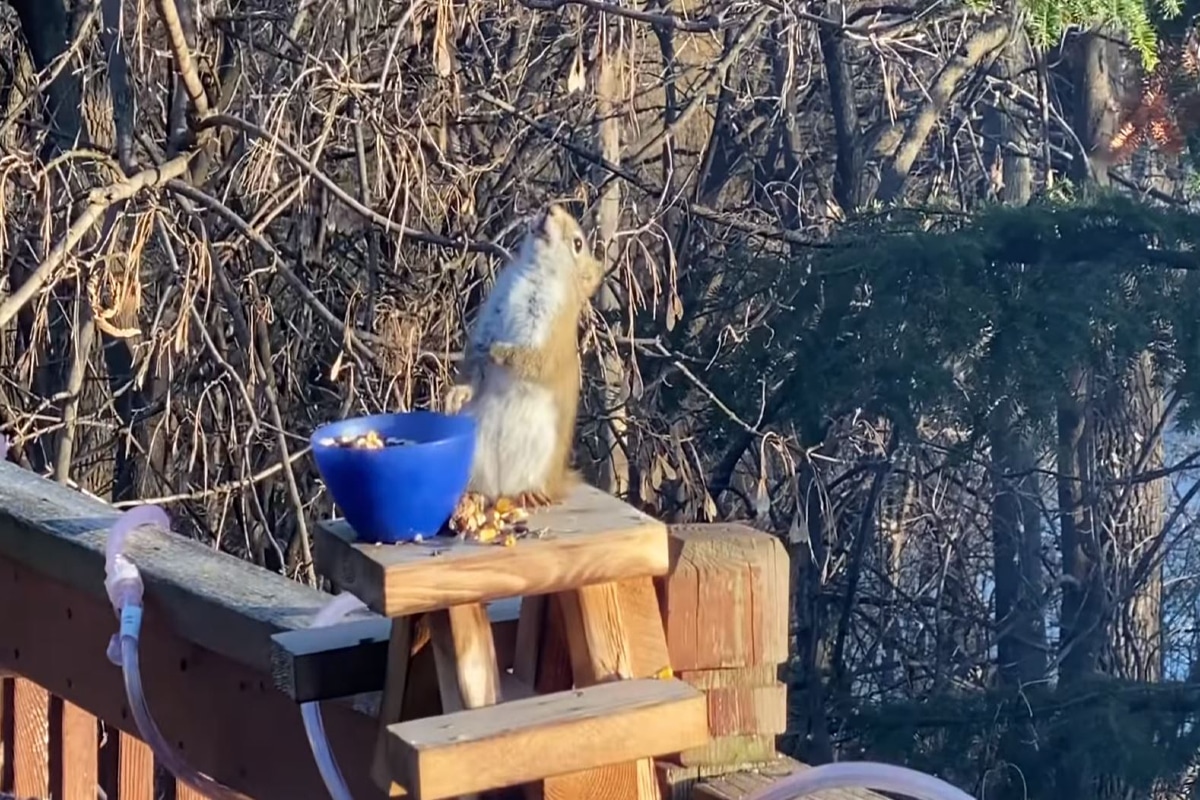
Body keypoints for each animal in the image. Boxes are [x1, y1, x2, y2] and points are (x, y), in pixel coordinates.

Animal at [446, 203, 604, 510]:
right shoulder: (492, 312)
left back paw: (529, 494)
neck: (535, 272)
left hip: (539, 462)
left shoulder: (553, 336)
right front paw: (458, 393)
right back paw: (471, 495)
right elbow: (475, 359)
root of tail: (500, 490)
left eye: (578, 244)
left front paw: (499, 351)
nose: (549, 208)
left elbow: (534, 361)